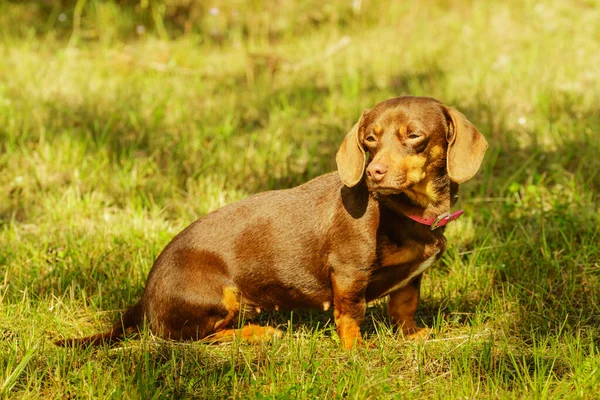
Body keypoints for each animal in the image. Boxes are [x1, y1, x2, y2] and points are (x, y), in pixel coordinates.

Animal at [56, 97, 488, 350]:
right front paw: (356, 350)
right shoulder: (348, 273)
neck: (402, 208)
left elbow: (404, 306)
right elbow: (351, 315)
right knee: (198, 338)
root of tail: (144, 298)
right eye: (369, 139)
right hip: (220, 297)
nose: (373, 174)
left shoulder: (412, 277)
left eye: (414, 136)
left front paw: (413, 335)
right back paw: (257, 333)